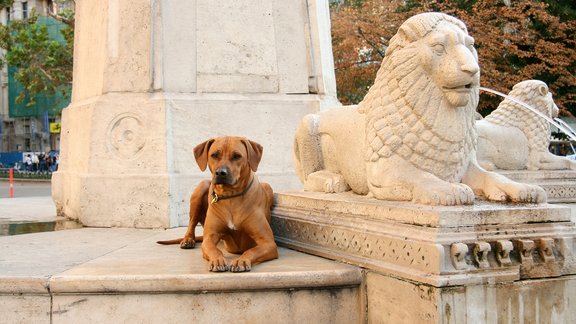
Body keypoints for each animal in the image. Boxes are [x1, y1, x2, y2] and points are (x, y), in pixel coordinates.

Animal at [155, 135, 276, 272]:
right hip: (201, 186)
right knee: (192, 223)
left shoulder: (268, 243)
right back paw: (188, 240)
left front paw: (241, 260)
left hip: (268, 187)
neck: (230, 197)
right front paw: (217, 260)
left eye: (237, 156)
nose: (220, 173)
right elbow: (214, 249)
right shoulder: (209, 238)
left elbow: (251, 250)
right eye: (214, 155)